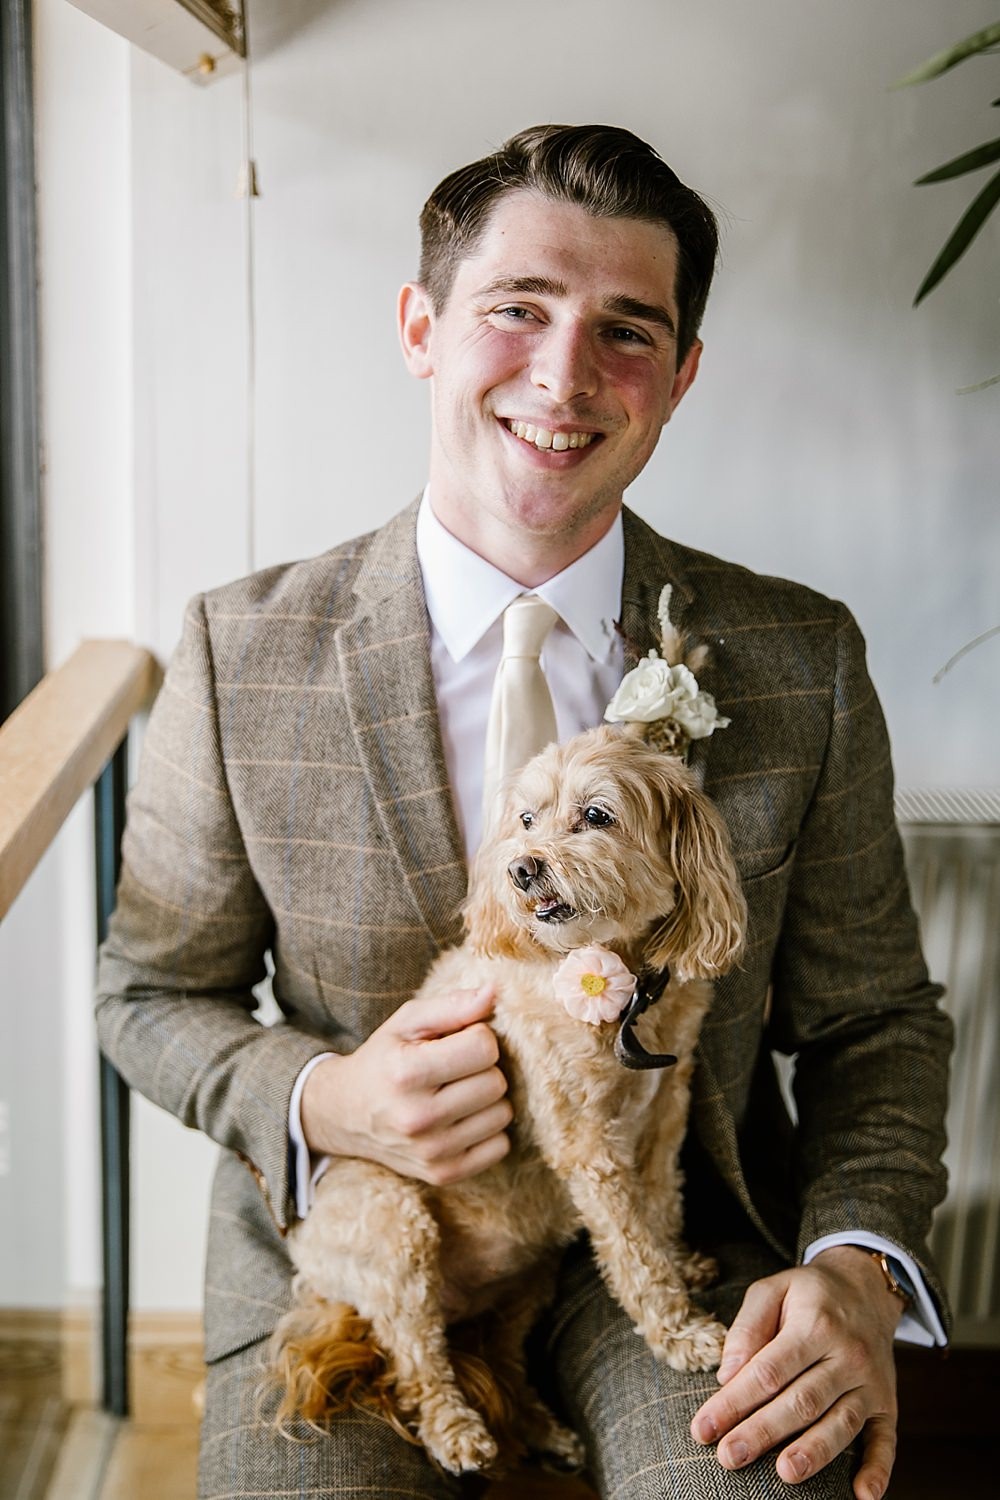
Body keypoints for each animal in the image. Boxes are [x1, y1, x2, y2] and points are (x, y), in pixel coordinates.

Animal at [269, 726, 746, 1476]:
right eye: (525, 820)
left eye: (597, 816)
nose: (522, 869)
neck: (621, 987)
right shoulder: (587, 1147)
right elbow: (632, 1253)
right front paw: (681, 1334)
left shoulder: (666, 1108)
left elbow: (661, 1202)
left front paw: (681, 1260)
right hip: (394, 1226)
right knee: (418, 1360)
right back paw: (456, 1432)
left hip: (528, 1279)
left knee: (500, 1360)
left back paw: (541, 1430)